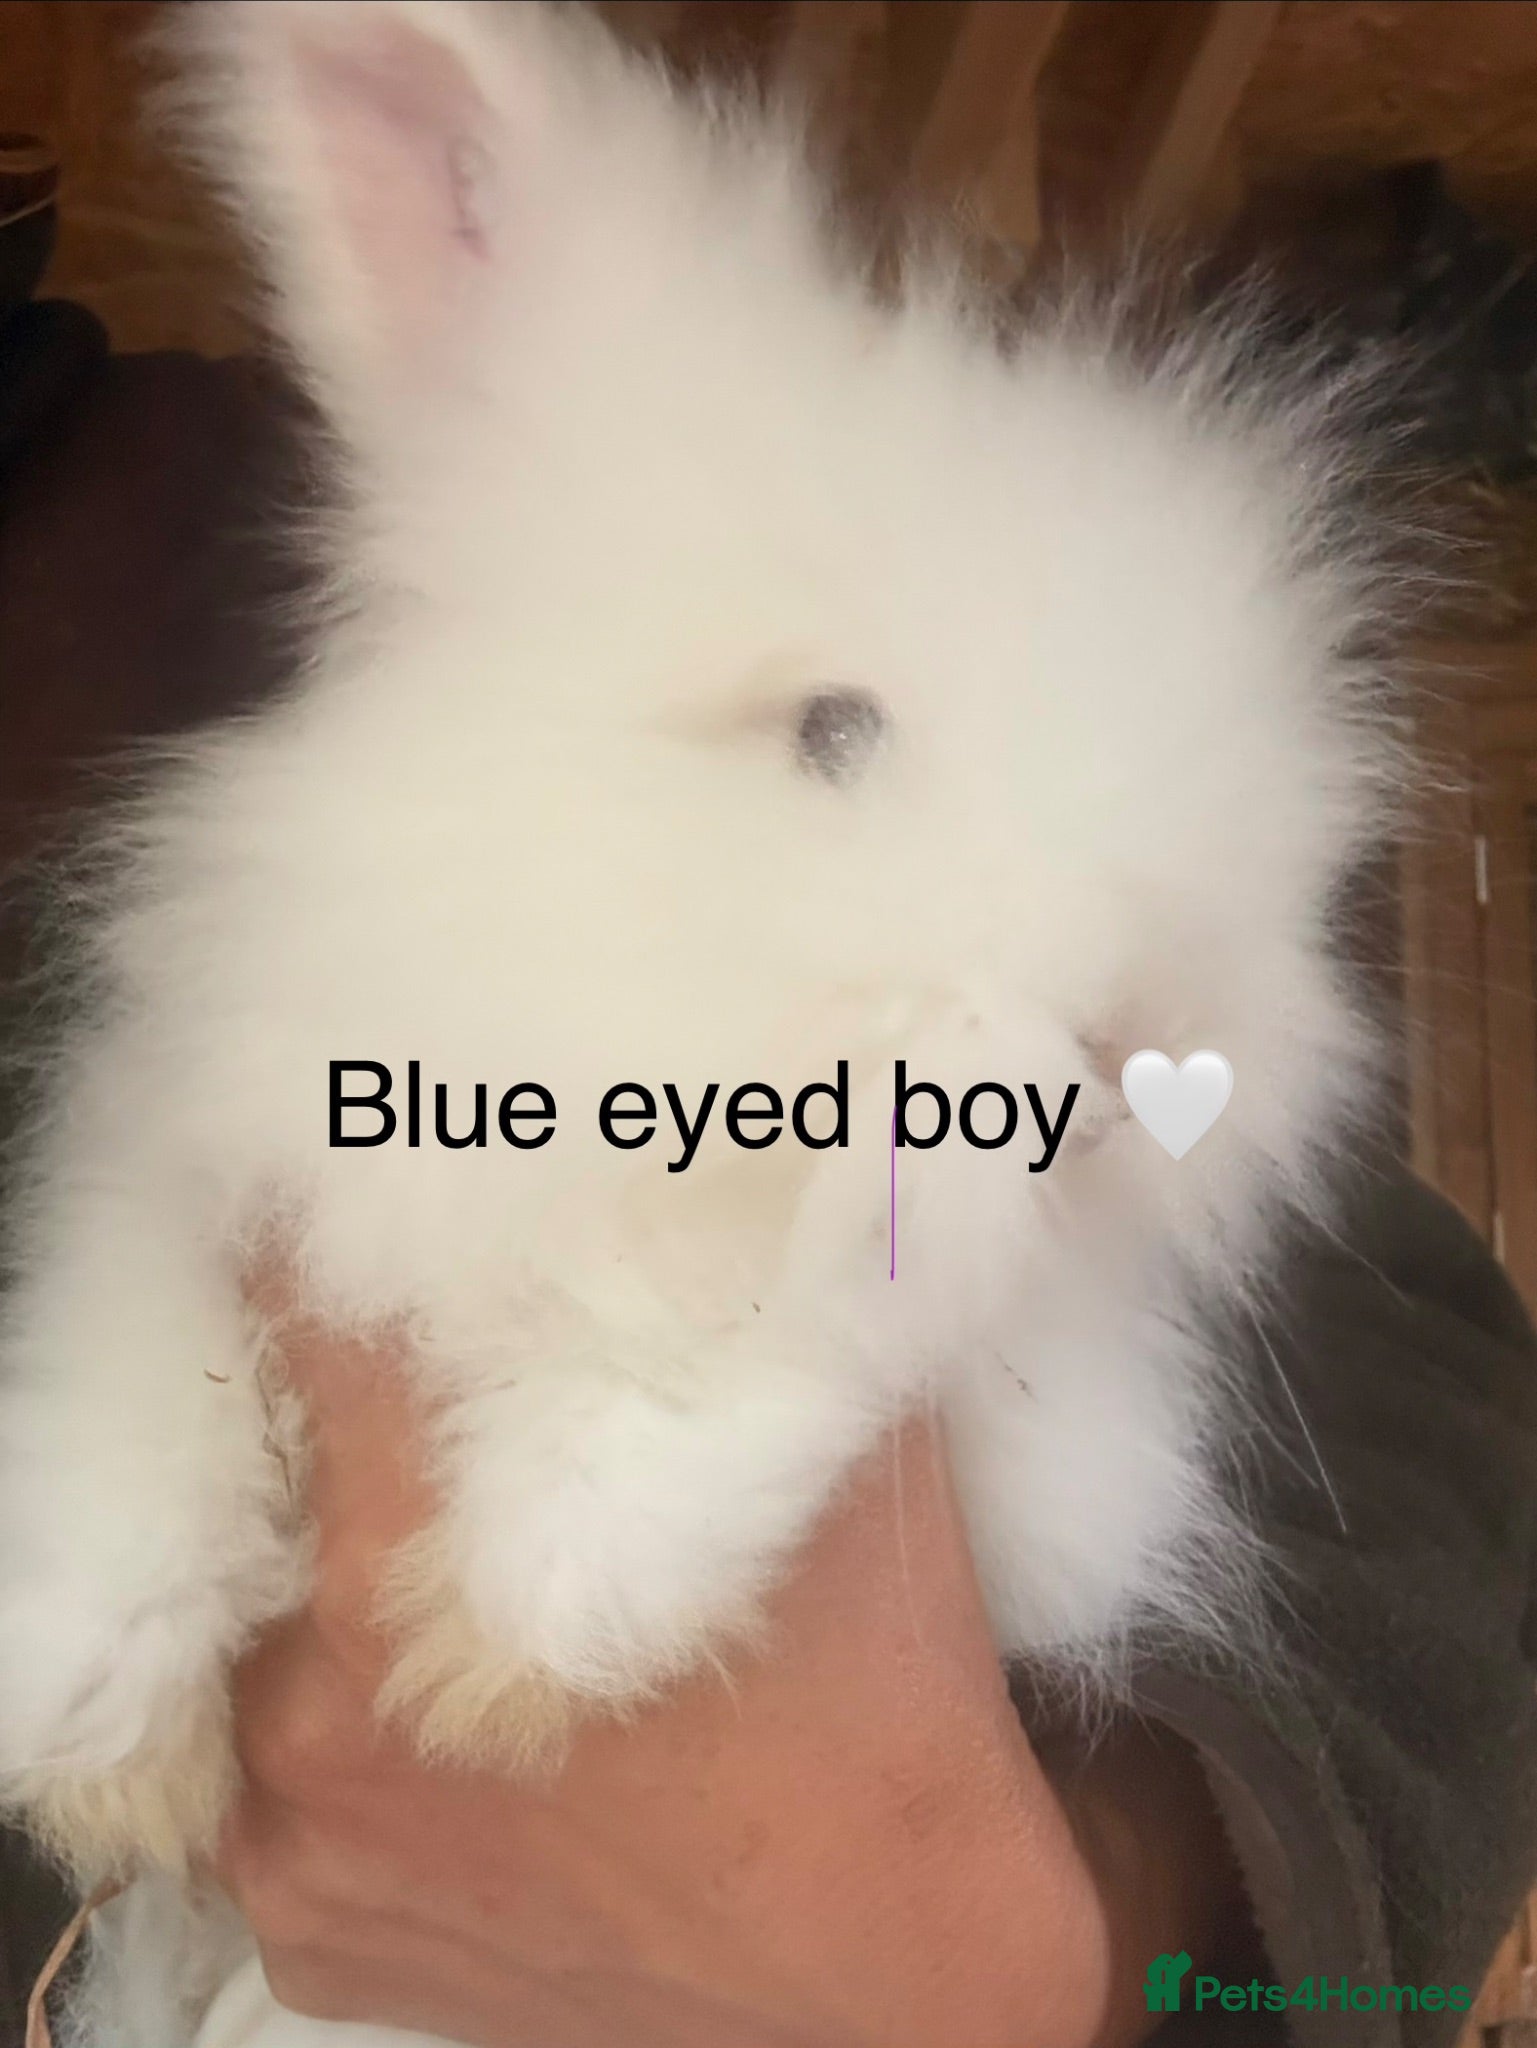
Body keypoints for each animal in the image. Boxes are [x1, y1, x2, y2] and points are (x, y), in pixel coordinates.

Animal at [0, 2, 1401, 2042]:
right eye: (831, 732)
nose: (1139, 1030)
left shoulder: (999, 1431)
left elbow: (743, 1367)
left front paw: (491, 1662)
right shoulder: (172, 1150)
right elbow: (123, 1415)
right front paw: (107, 1760)